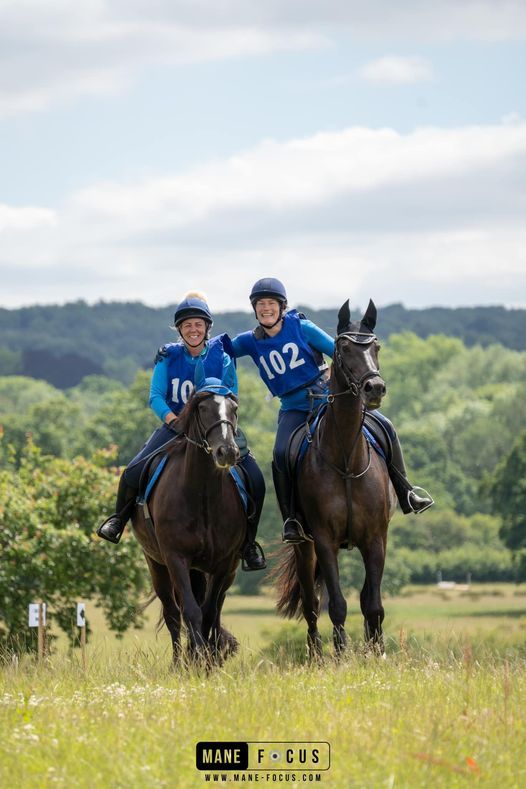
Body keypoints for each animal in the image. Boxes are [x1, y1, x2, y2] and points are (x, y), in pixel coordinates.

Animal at [132, 360, 248, 660]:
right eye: (203, 408)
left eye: (234, 409)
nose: (227, 452)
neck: (201, 495)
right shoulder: (176, 558)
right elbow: (191, 612)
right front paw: (195, 658)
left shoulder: (223, 563)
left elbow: (209, 613)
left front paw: (206, 658)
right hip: (156, 564)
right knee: (174, 614)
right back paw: (178, 661)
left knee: (213, 611)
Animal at [276, 298, 396, 656]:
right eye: (344, 347)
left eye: (375, 346)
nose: (375, 388)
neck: (346, 461)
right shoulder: (324, 540)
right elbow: (337, 605)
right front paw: (340, 654)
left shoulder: (375, 539)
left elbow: (373, 604)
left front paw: (377, 652)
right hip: (304, 547)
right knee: (311, 603)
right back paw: (316, 653)